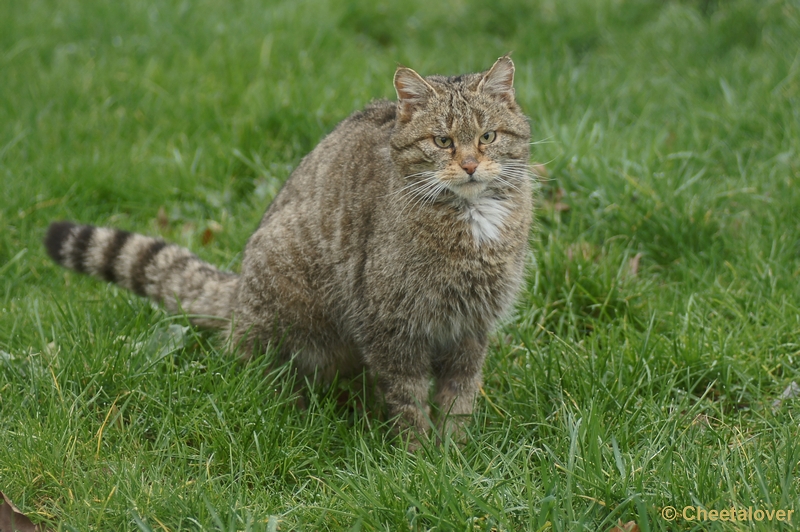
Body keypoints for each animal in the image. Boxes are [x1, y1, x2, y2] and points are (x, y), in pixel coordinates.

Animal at [42, 55, 532, 444]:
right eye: (442, 141)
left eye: (487, 137)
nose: (469, 165)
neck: (472, 219)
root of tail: (239, 289)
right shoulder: (390, 325)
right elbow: (408, 399)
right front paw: (418, 457)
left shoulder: (471, 327)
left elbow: (459, 396)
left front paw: (454, 453)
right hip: (282, 316)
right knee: (248, 363)